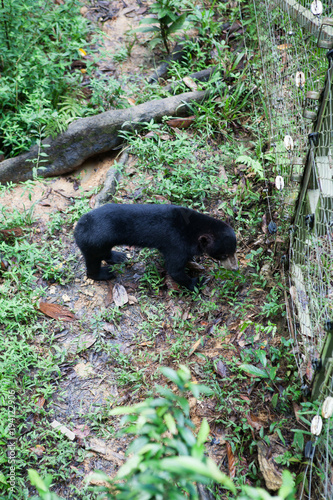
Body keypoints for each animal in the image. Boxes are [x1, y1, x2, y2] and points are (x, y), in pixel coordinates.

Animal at [74, 202, 237, 290]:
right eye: (224, 255)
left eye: (234, 251)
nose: (235, 268)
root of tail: (77, 229)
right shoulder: (176, 244)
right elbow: (175, 269)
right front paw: (197, 282)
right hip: (94, 243)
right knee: (93, 262)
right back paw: (105, 273)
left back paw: (118, 256)